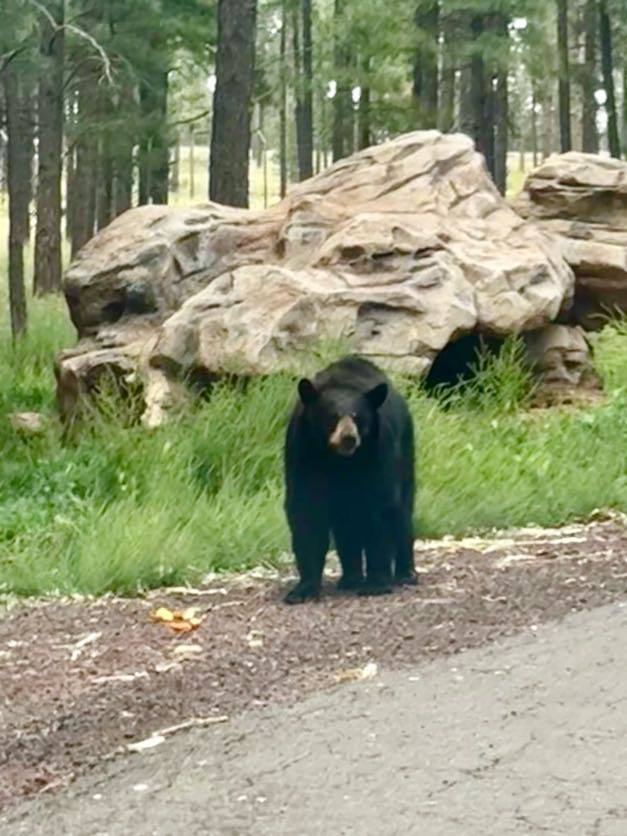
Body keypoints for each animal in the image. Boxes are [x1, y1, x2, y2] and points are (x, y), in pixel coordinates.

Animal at [283, 355, 416, 604]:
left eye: (358, 417)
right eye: (332, 417)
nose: (348, 438)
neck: (340, 461)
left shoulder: (379, 450)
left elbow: (380, 507)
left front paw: (376, 583)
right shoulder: (302, 451)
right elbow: (305, 510)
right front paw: (302, 590)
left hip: (405, 451)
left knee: (402, 511)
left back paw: (406, 573)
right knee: (347, 525)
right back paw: (350, 578)